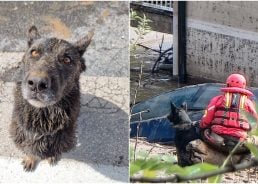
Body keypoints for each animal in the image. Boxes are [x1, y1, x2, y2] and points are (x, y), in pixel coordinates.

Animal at [9, 25, 93, 171]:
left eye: (67, 60)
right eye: (34, 52)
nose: (37, 84)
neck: (43, 117)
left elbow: (54, 149)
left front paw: (52, 157)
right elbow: (31, 149)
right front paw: (30, 158)